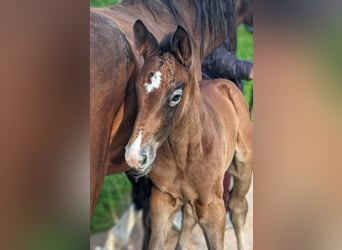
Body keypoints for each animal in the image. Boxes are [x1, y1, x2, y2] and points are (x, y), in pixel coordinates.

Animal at [124, 21, 252, 250]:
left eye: (176, 96)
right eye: (135, 90)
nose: (134, 156)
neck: (183, 156)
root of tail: (225, 83)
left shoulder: (214, 209)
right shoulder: (161, 200)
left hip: (244, 165)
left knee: (238, 208)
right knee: (190, 216)